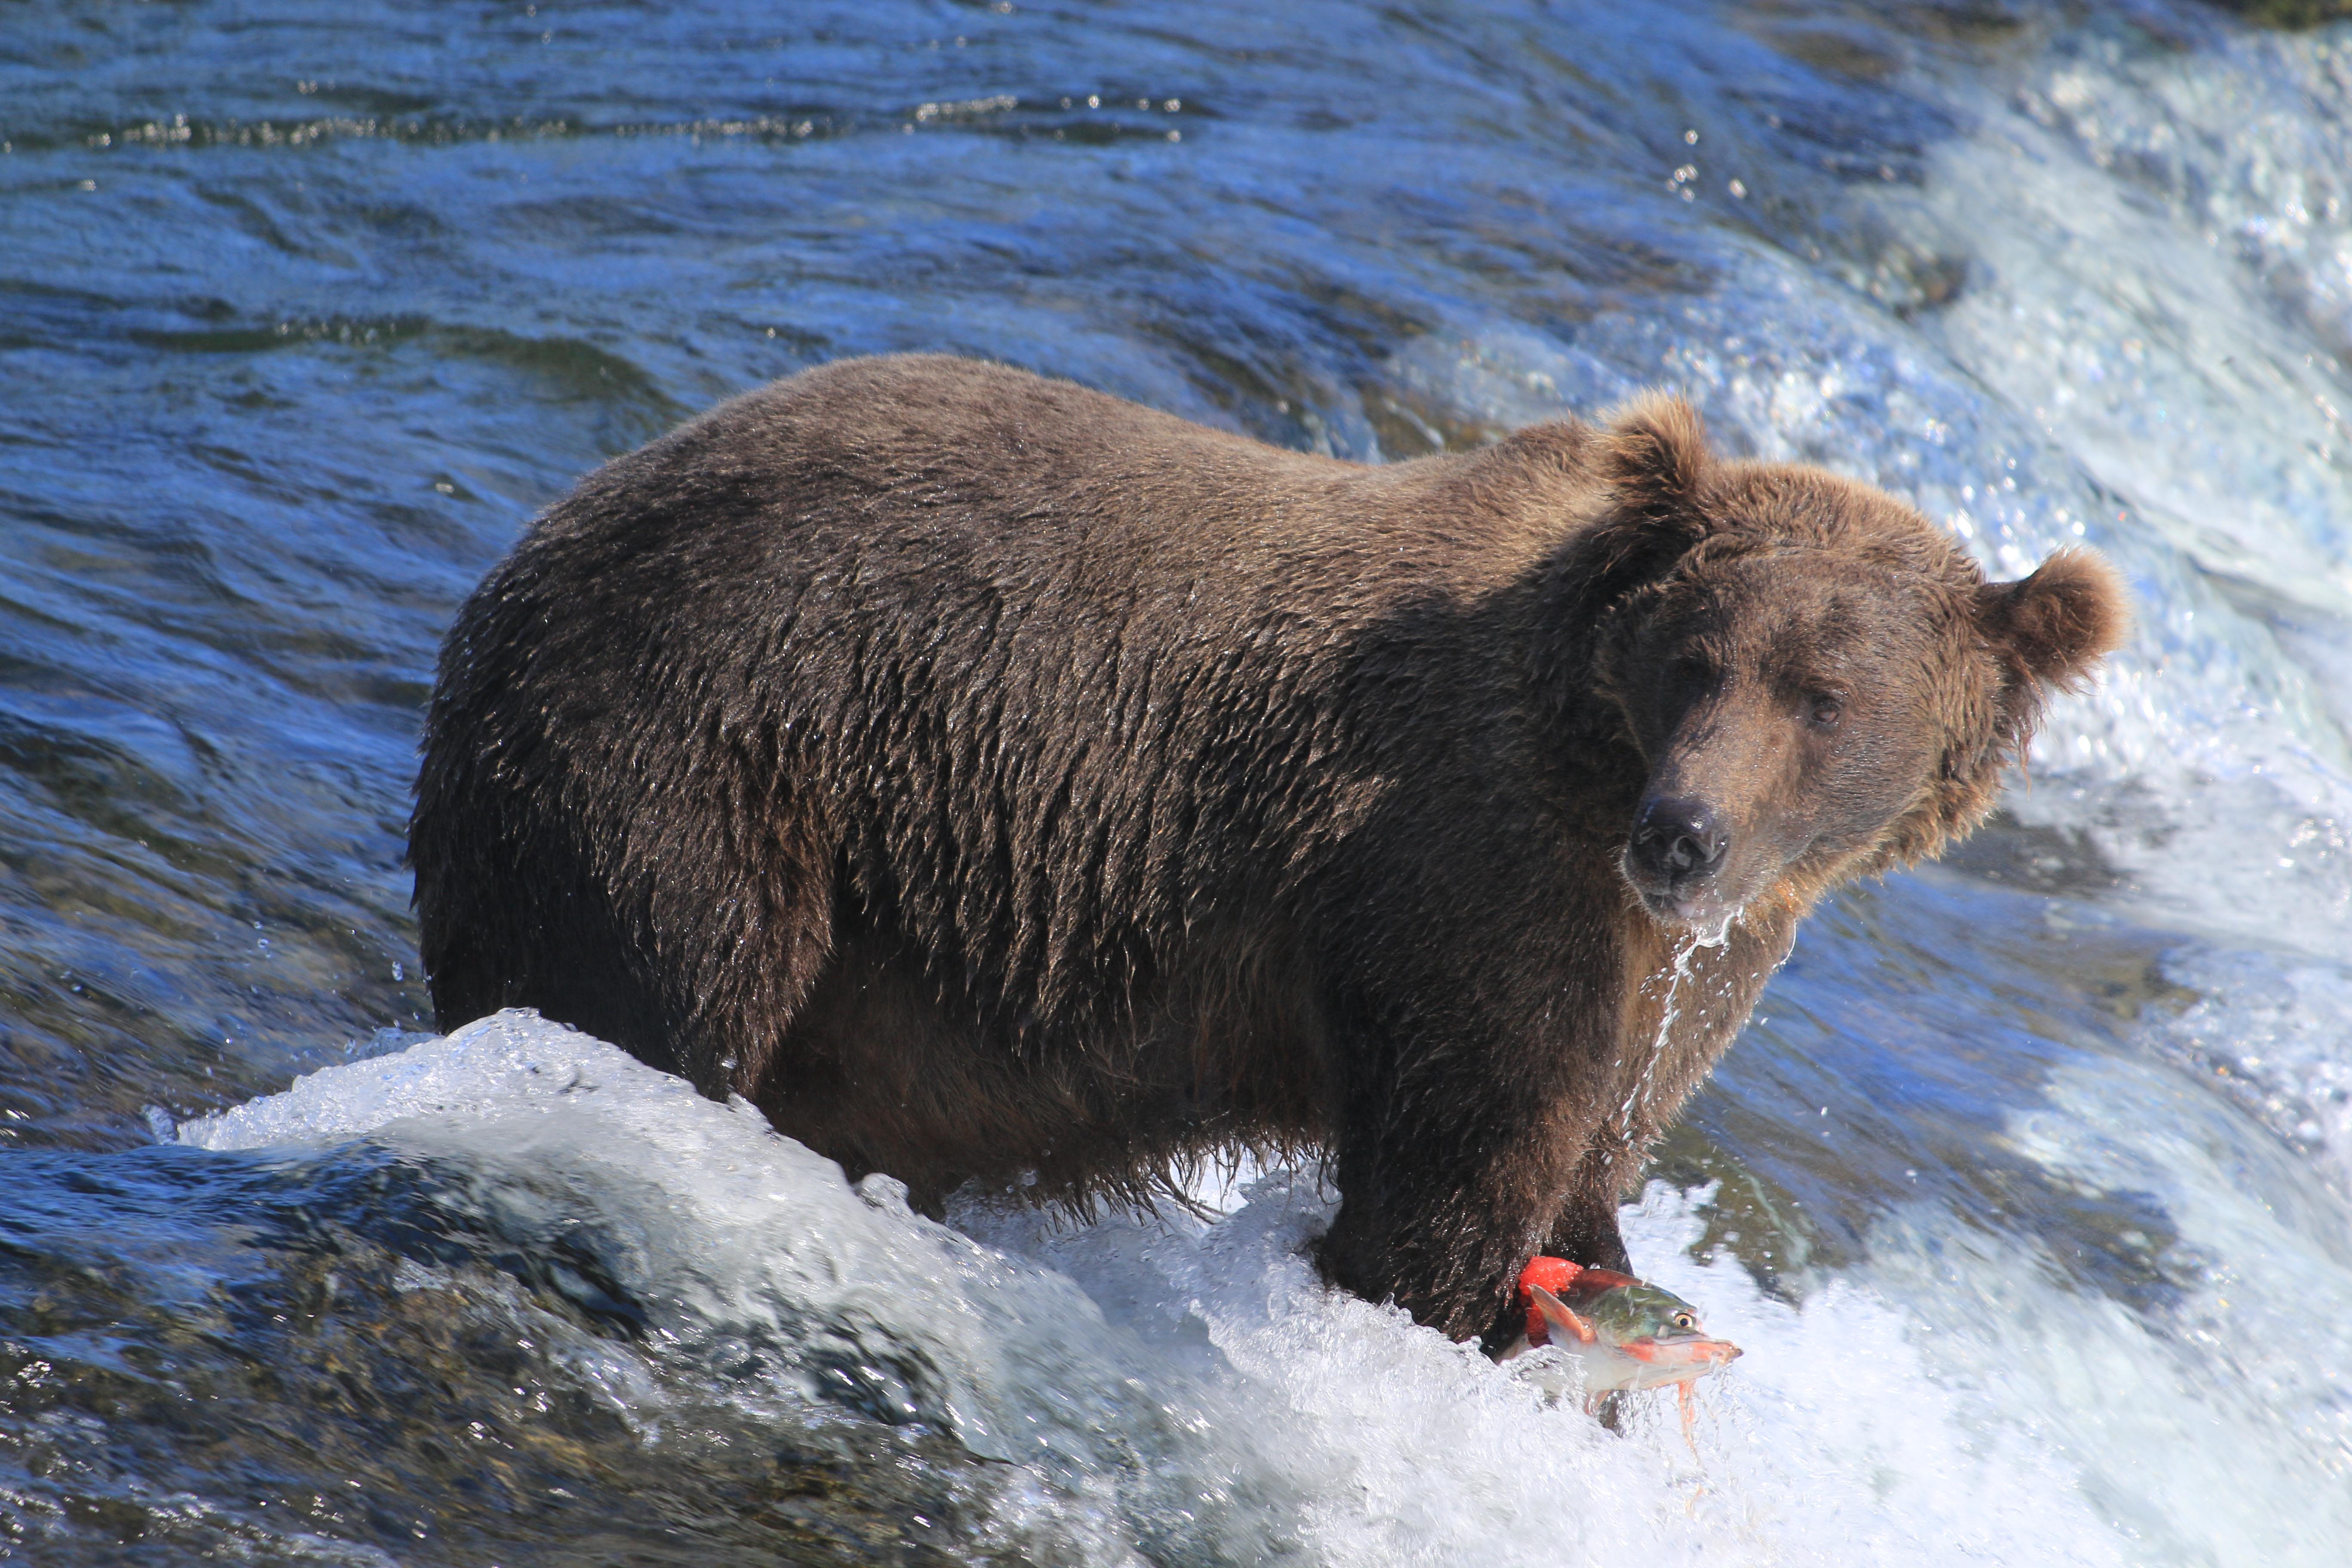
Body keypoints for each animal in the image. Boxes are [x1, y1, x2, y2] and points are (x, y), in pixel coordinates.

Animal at [409, 355, 2135, 1354]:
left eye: (1826, 696)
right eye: (1698, 656)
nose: (1685, 831)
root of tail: (537, 539)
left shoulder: (1685, 967)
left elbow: (1599, 1141)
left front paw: (1605, 1282)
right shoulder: (1468, 869)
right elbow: (1453, 1167)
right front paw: (1456, 1321)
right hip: (707, 743)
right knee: (661, 982)